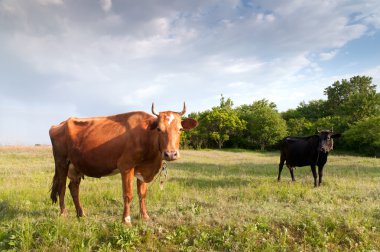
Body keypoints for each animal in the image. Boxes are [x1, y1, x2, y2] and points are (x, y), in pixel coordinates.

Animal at [49, 102, 197, 224]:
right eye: (159, 129)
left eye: (180, 129)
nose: (170, 154)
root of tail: (59, 124)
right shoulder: (126, 166)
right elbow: (128, 194)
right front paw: (126, 220)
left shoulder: (142, 169)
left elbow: (142, 193)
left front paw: (145, 216)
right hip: (61, 162)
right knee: (61, 188)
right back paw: (63, 214)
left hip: (76, 166)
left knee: (73, 188)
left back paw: (81, 214)